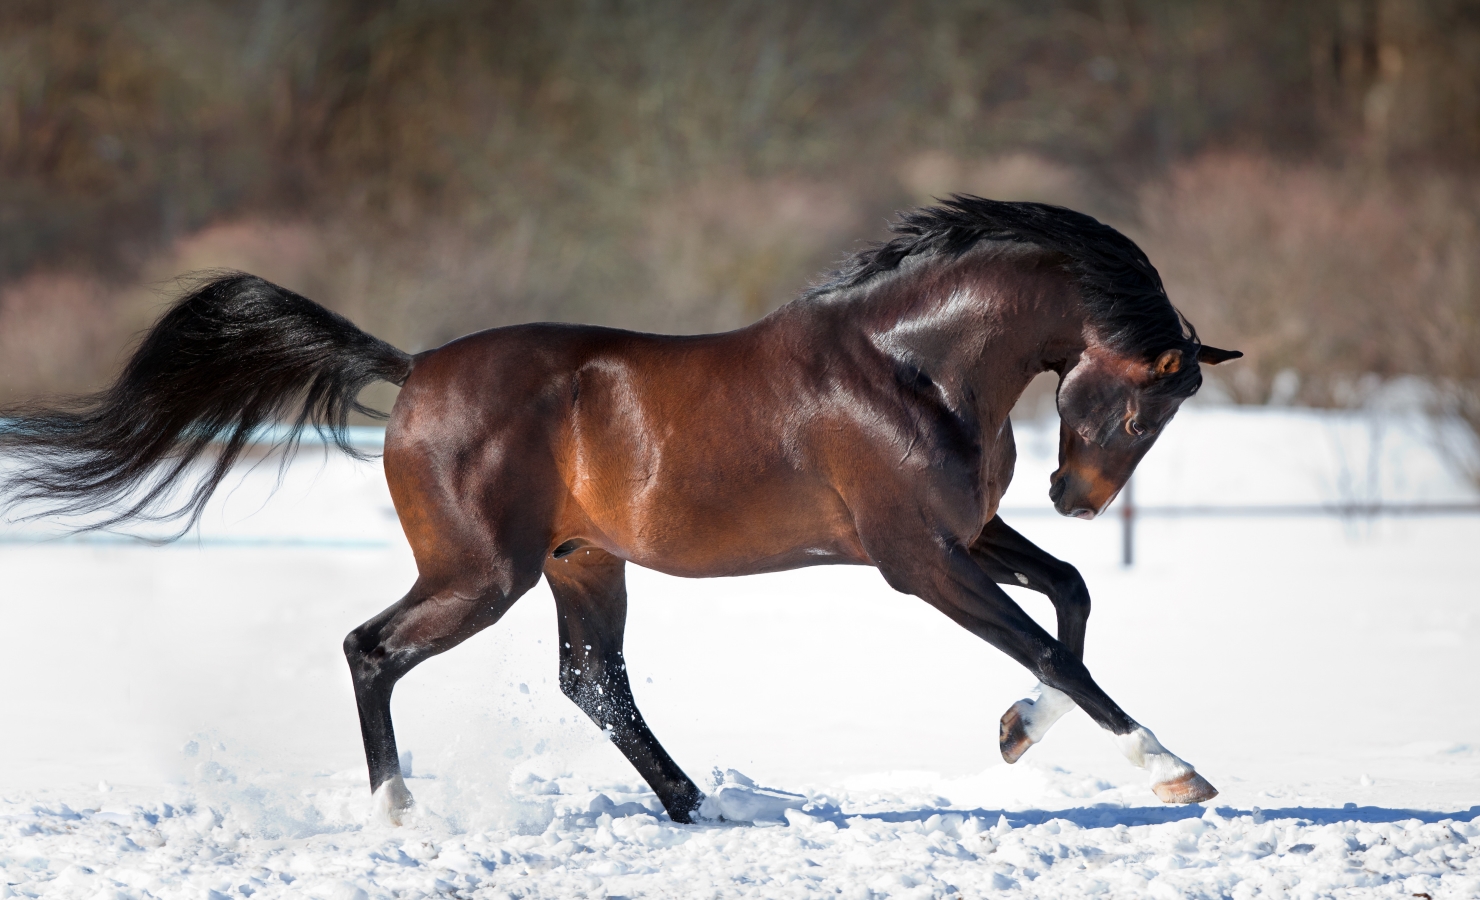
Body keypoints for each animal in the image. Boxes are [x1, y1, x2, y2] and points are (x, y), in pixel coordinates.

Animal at [0, 196, 1237, 823]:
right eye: (1144, 402)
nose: (1076, 497)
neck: (909, 364)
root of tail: (416, 371)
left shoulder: (966, 534)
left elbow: (1069, 604)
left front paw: (1017, 731)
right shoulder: (916, 557)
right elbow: (1054, 642)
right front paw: (1175, 771)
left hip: (581, 562)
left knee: (591, 682)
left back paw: (699, 807)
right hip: (481, 574)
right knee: (372, 649)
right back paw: (400, 811)